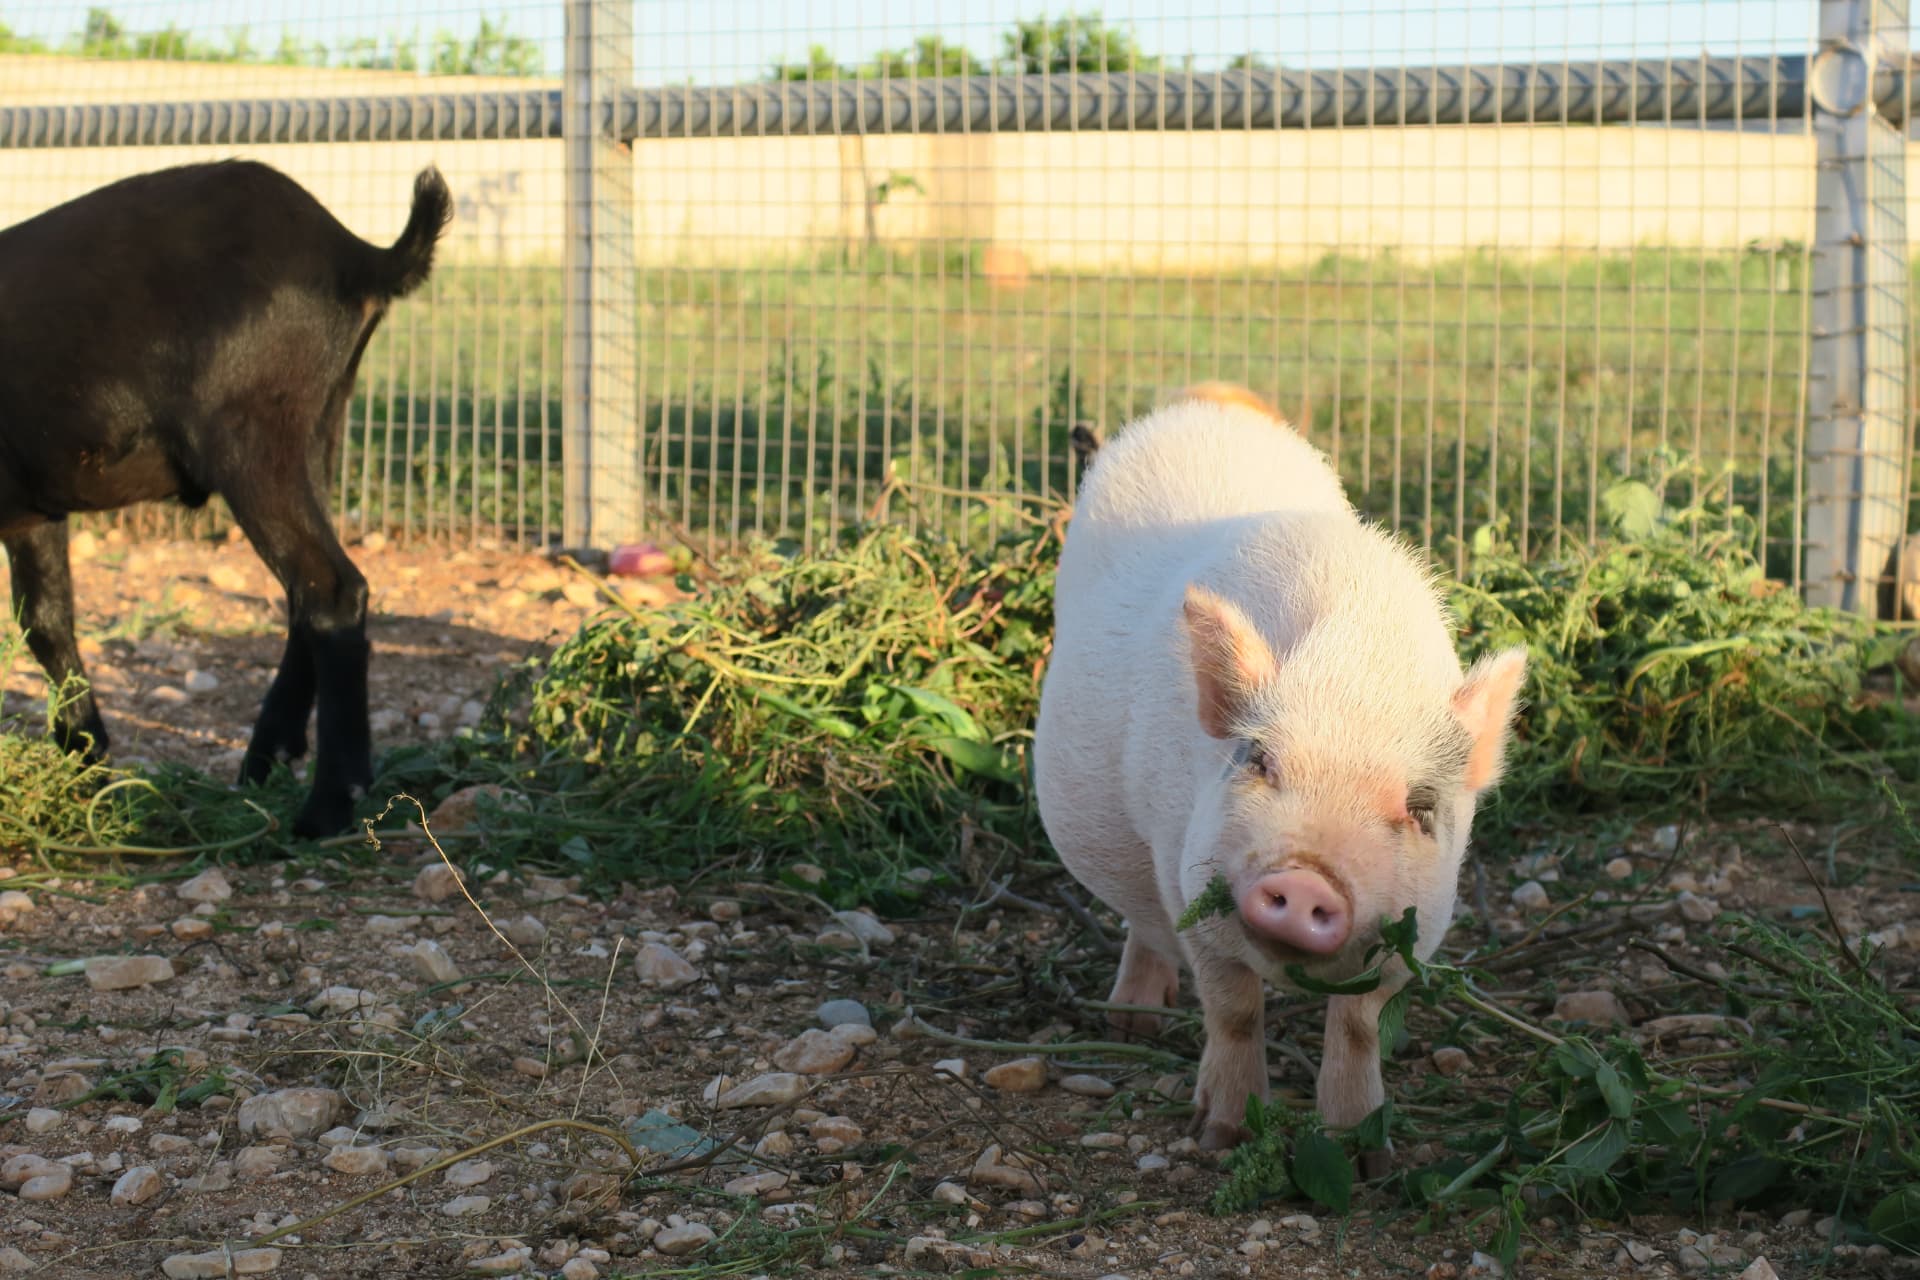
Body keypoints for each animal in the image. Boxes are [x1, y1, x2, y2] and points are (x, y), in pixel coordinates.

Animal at [0, 160, 453, 838]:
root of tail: (352, 253)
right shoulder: (30, 508)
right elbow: (48, 624)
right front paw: (87, 769)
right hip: (316, 429)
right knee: (309, 594)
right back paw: (268, 757)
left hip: (253, 439)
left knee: (332, 590)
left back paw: (326, 807)